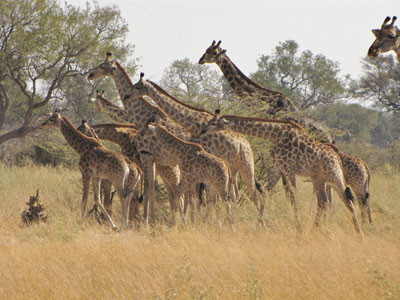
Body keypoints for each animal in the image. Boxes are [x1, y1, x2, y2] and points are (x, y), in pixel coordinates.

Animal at [129, 72, 266, 223]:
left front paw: (195, 219)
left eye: (138, 86)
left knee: (251, 192)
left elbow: (199, 196)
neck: (192, 123)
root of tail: (246, 142)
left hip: (246, 163)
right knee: (234, 194)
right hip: (233, 167)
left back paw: (259, 221)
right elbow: (195, 196)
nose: (127, 96)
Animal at [202, 110, 364, 237]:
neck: (275, 134)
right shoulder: (277, 167)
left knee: (347, 201)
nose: (203, 131)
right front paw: (259, 225)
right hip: (319, 179)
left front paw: (298, 229)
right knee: (323, 202)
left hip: (334, 175)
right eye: (209, 122)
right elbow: (265, 192)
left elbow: (292, 196)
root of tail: (337, 158)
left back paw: (359, 234)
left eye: (214, 123)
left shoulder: (288, 167)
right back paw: (314, 229)